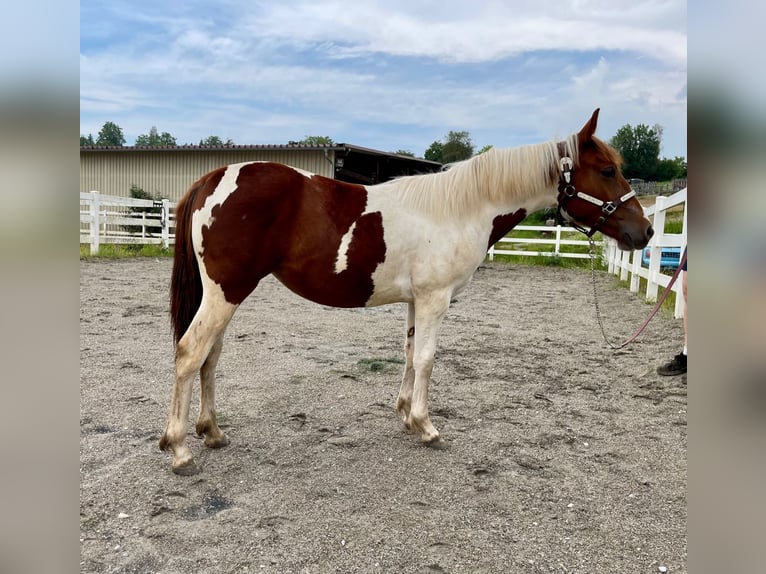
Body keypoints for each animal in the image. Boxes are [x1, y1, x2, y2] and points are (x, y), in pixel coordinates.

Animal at [160, 109, 656, 476]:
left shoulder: (418, 301)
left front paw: (402, 413)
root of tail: (212, 178)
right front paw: (425, 426)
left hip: (224, 295)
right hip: (226, 293)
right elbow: (427, 358)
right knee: (190, 352)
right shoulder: (436, 298)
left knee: (209, 357)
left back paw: (211, 431)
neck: (463, 208)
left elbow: (409, 352)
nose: (646, 232)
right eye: (607, 170)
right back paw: (181, 450)